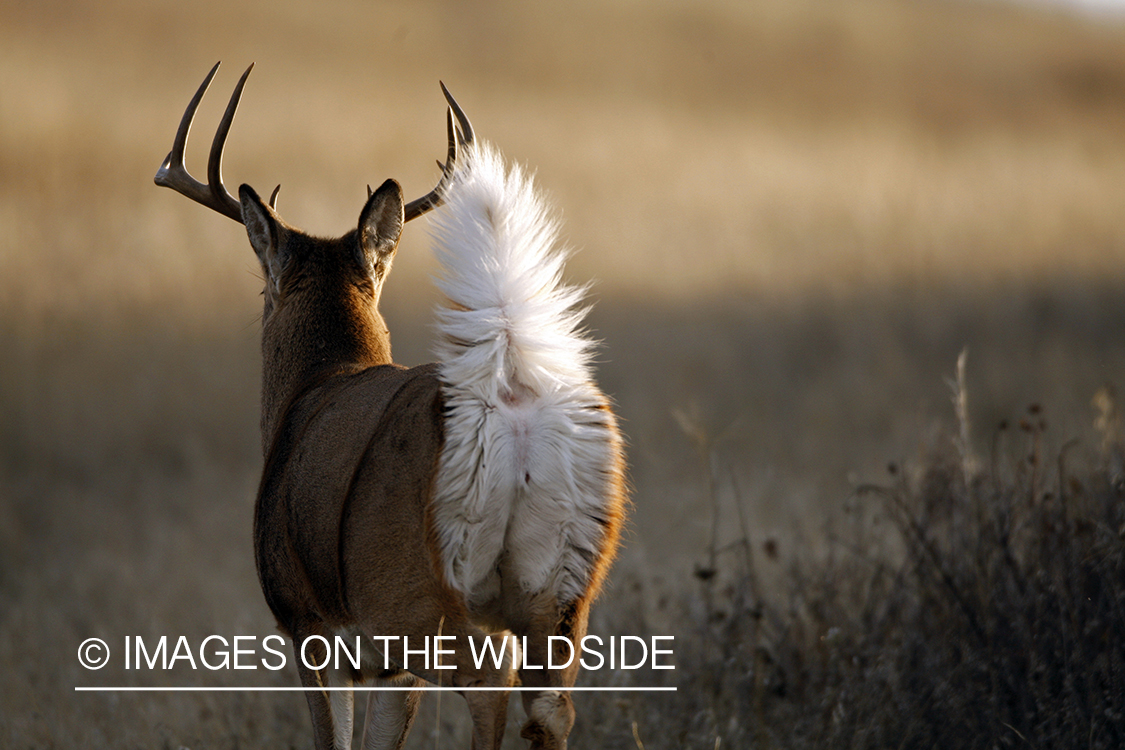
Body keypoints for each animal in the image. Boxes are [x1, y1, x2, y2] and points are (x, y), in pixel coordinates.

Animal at [151, 60, 625, 750]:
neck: (319, 384)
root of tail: (512, 406)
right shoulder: (385, 663)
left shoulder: (312, 625)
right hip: (564, 594)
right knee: (551, 709)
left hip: (425, 596)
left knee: (493, 687)